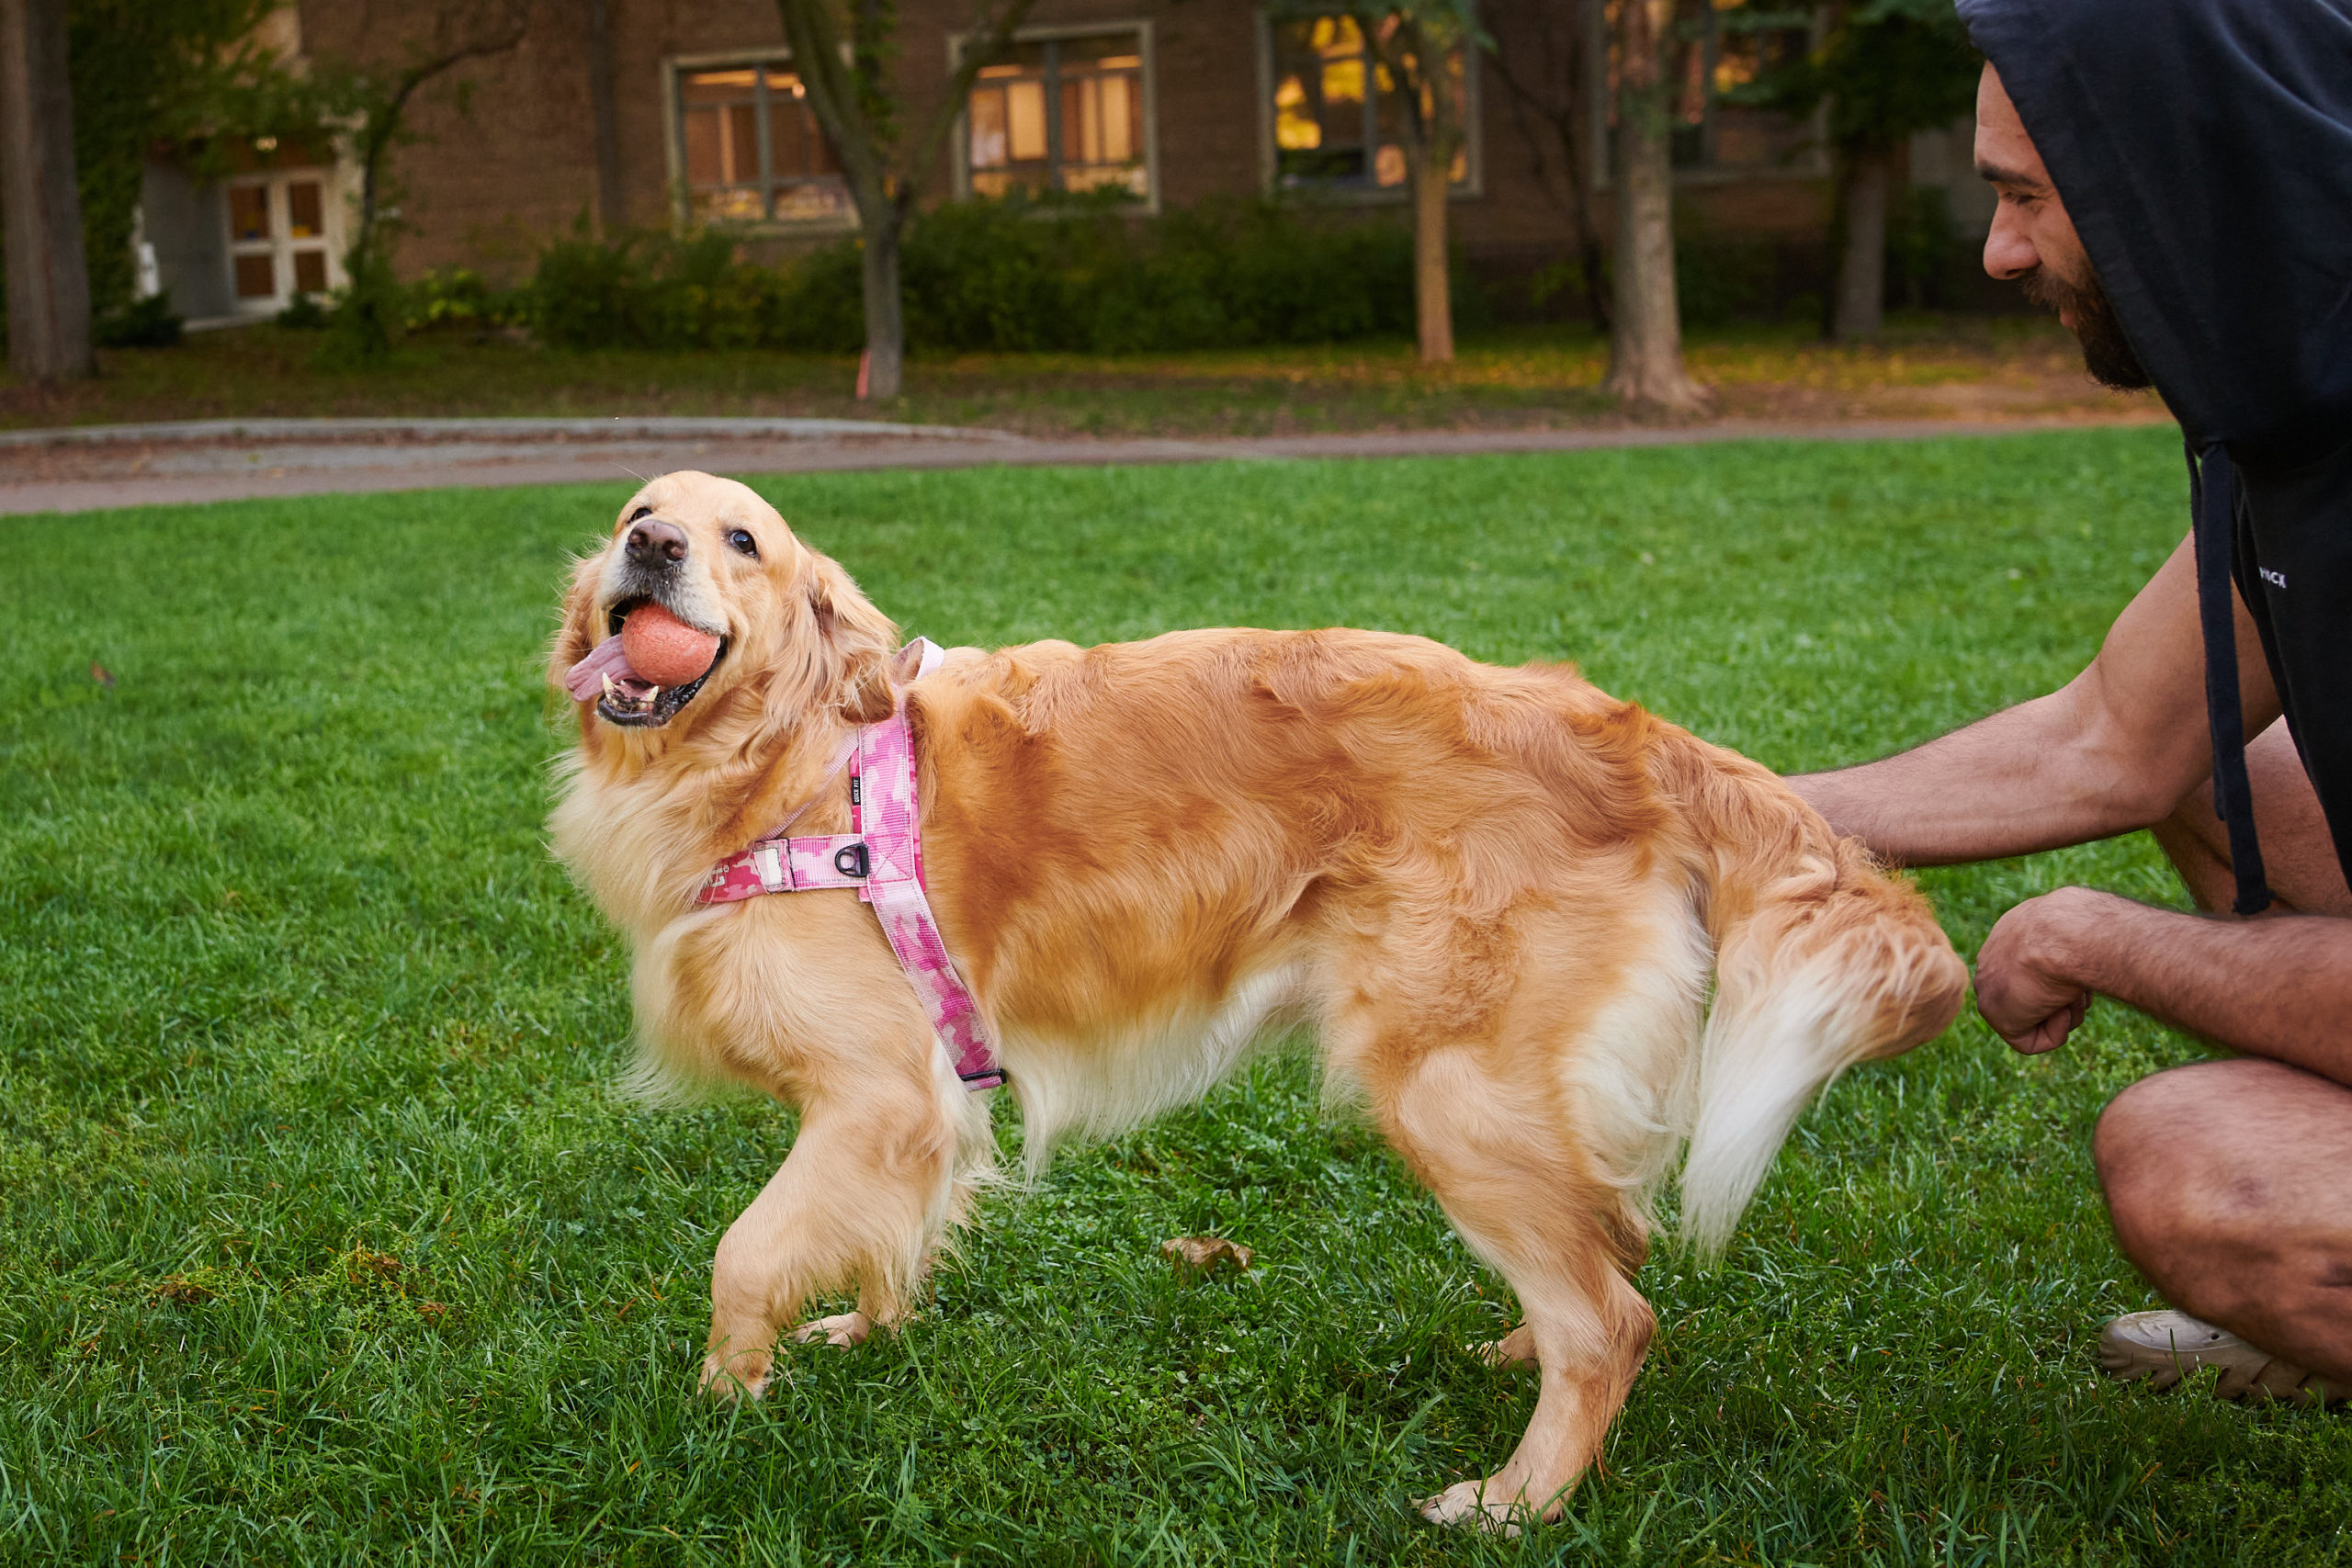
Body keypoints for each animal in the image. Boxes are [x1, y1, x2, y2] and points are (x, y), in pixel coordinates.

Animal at [545, 469, 1966, 1532]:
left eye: (739, 539)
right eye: (635, 512)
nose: (652, 547)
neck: (787, 766)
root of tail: (1628, 731)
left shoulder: (876, 1092)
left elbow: (744, 1252)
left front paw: (726, 1397)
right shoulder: (921, 1106)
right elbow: (884, 1232)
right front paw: (864, 1325)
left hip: (1445, 1088)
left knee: (1612, 1319)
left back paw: (1516, 1497)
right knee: (1602, 1243)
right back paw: (1516, 1353)